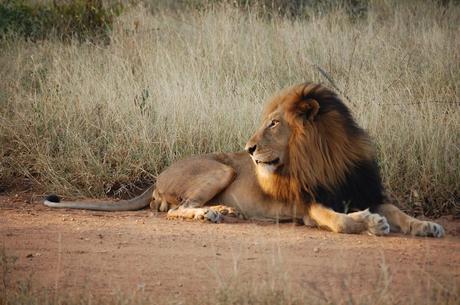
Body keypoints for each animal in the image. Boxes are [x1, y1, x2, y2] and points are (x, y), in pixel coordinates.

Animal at [44, 82, 446, 236]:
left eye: (274, 123)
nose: (249, 149)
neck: (326, 157)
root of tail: (157, 177)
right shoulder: (308, 206)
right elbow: (341, 221)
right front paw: (371, 223)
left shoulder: (366, 190)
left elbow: (400, 213)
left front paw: (427, 226)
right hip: (219, 169)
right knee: (178, 209)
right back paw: (211, 214)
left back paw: (224, 211)